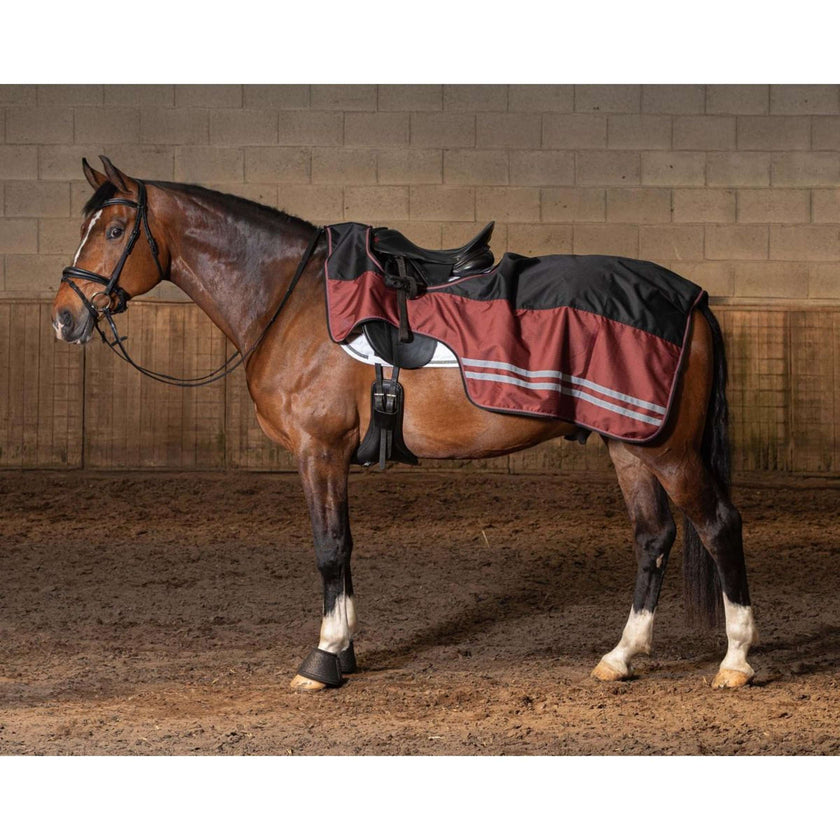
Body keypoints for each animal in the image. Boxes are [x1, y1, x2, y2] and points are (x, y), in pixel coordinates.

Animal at [51, 157, 758, 692]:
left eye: (115, 230)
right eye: (87, 225)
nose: (64, 317)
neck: (293, 301)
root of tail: (692, 299)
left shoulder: (319, 451)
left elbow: (330, 548)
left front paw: (323, 659)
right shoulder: (329, 457)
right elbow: (344, 549)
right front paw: (344, 650)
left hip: (670, 450)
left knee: (718, 526)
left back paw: (735, 660)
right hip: (629, 444)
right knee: (653, 537)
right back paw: (622, 656)